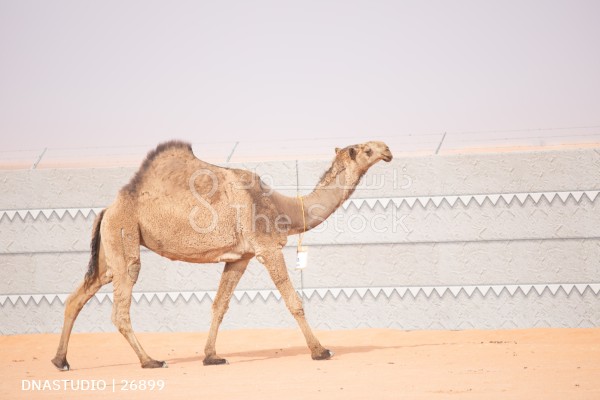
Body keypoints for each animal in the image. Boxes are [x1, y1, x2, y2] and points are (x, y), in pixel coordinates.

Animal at [50, 140, 390, 368]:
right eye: (365, 150)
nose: (387, 149)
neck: (283, 208)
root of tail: (107, 210)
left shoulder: (240, 257)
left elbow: (219, 306)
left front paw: (211, 356)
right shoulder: (266, 247)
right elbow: (293, 301)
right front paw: (320, 351)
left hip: (110, 249)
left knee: (79, 295)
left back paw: (60, 360)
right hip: (125, 236)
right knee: (121, 304)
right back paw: (150, 360)